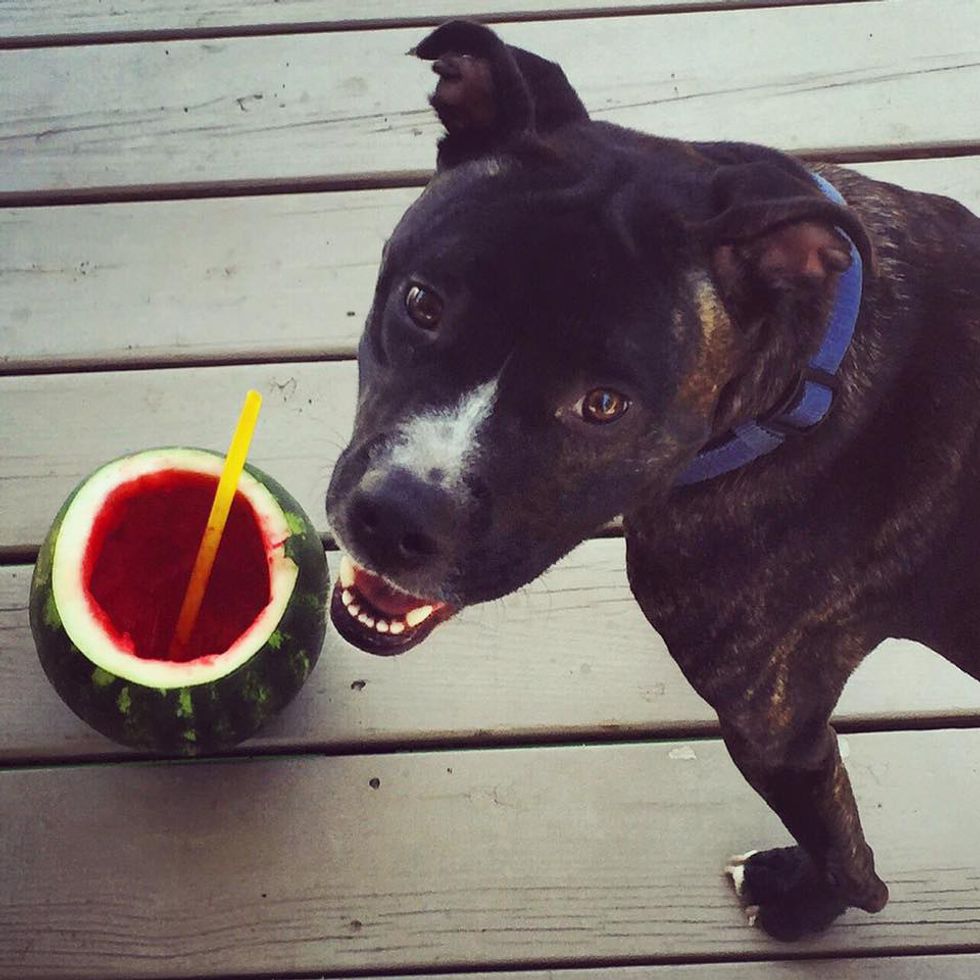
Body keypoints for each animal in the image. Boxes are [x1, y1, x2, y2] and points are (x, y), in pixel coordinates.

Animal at [325, 20, 980, 940]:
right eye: (421, 304)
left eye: (603, 404)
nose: (398, 513)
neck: (804, 372)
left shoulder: (776, 731)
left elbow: (849, 854)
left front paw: (809, 902)